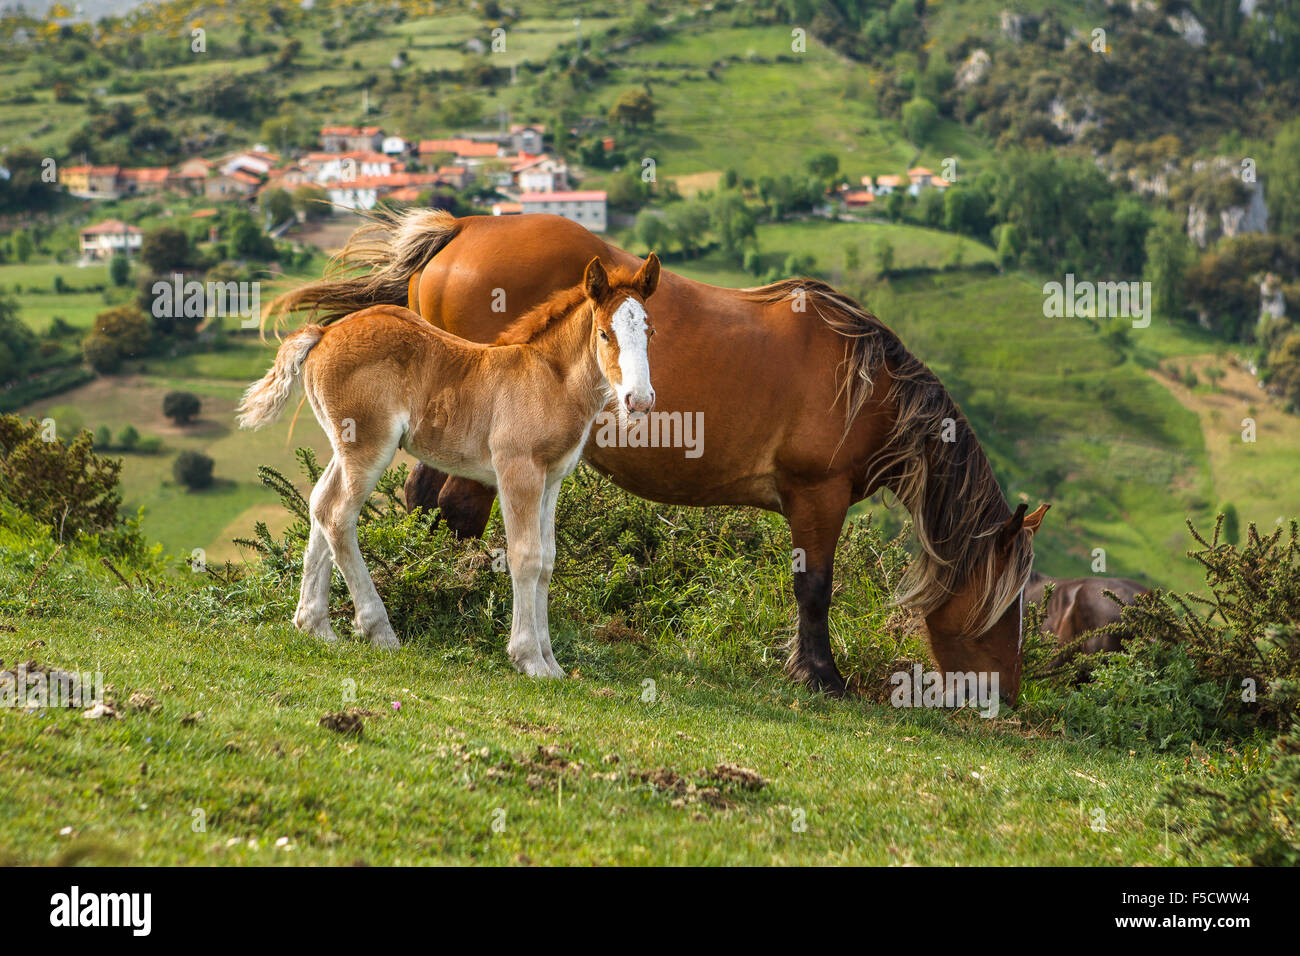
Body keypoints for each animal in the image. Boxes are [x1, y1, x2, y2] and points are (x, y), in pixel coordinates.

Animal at [237, 254, 660, 671]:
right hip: (368, 446)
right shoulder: (517, 472)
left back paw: (315, 626)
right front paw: (528, 659)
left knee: (319, 504)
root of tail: (323, 333)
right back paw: (379, 631)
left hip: (344, 446)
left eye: (650, 332)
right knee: (338, 514)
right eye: (604, 334)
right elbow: (526, 557)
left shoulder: (551, 479)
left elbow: (547, 562)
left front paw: (552, 665)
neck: (548, 380)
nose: (638, 401)